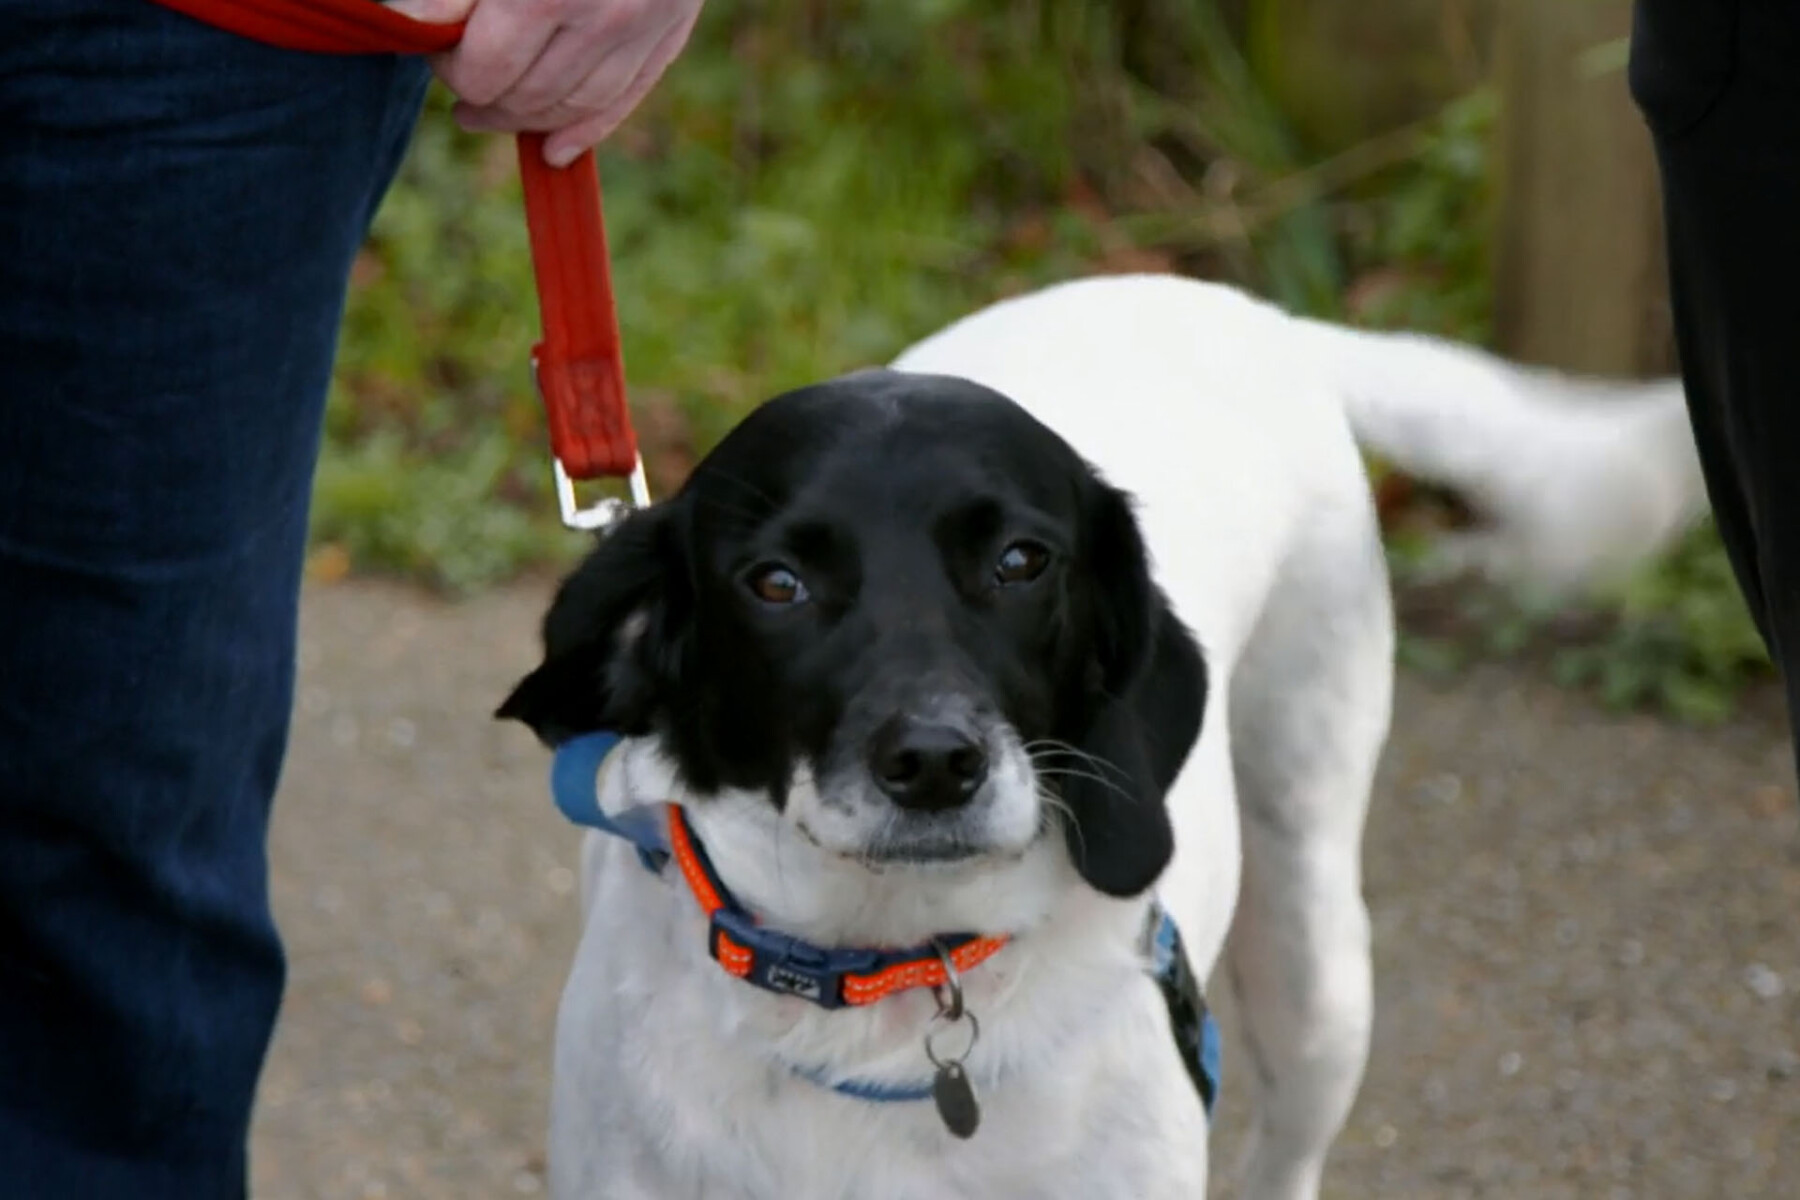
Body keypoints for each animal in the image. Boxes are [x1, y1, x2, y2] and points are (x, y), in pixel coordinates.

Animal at [500, 275, 1706, 1200]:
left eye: (1021, 561)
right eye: (777, 583)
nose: (935, 764)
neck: (889, 989)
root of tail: (1248, 310)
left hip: (1315, 956)